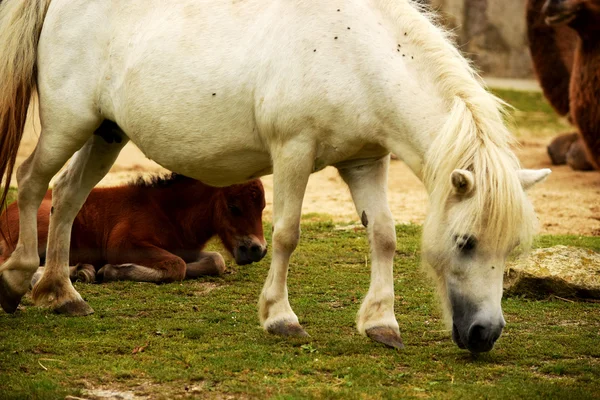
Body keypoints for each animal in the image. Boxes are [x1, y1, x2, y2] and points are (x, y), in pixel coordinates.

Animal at [0, 174, 268, 284]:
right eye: (234, 207)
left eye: (263, 207)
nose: (258, 250)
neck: (165, 210)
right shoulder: (122, 245)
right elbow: (176, 266)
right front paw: (112, 270)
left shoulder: (184, 248)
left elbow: (214, 260)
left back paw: (82, 270)